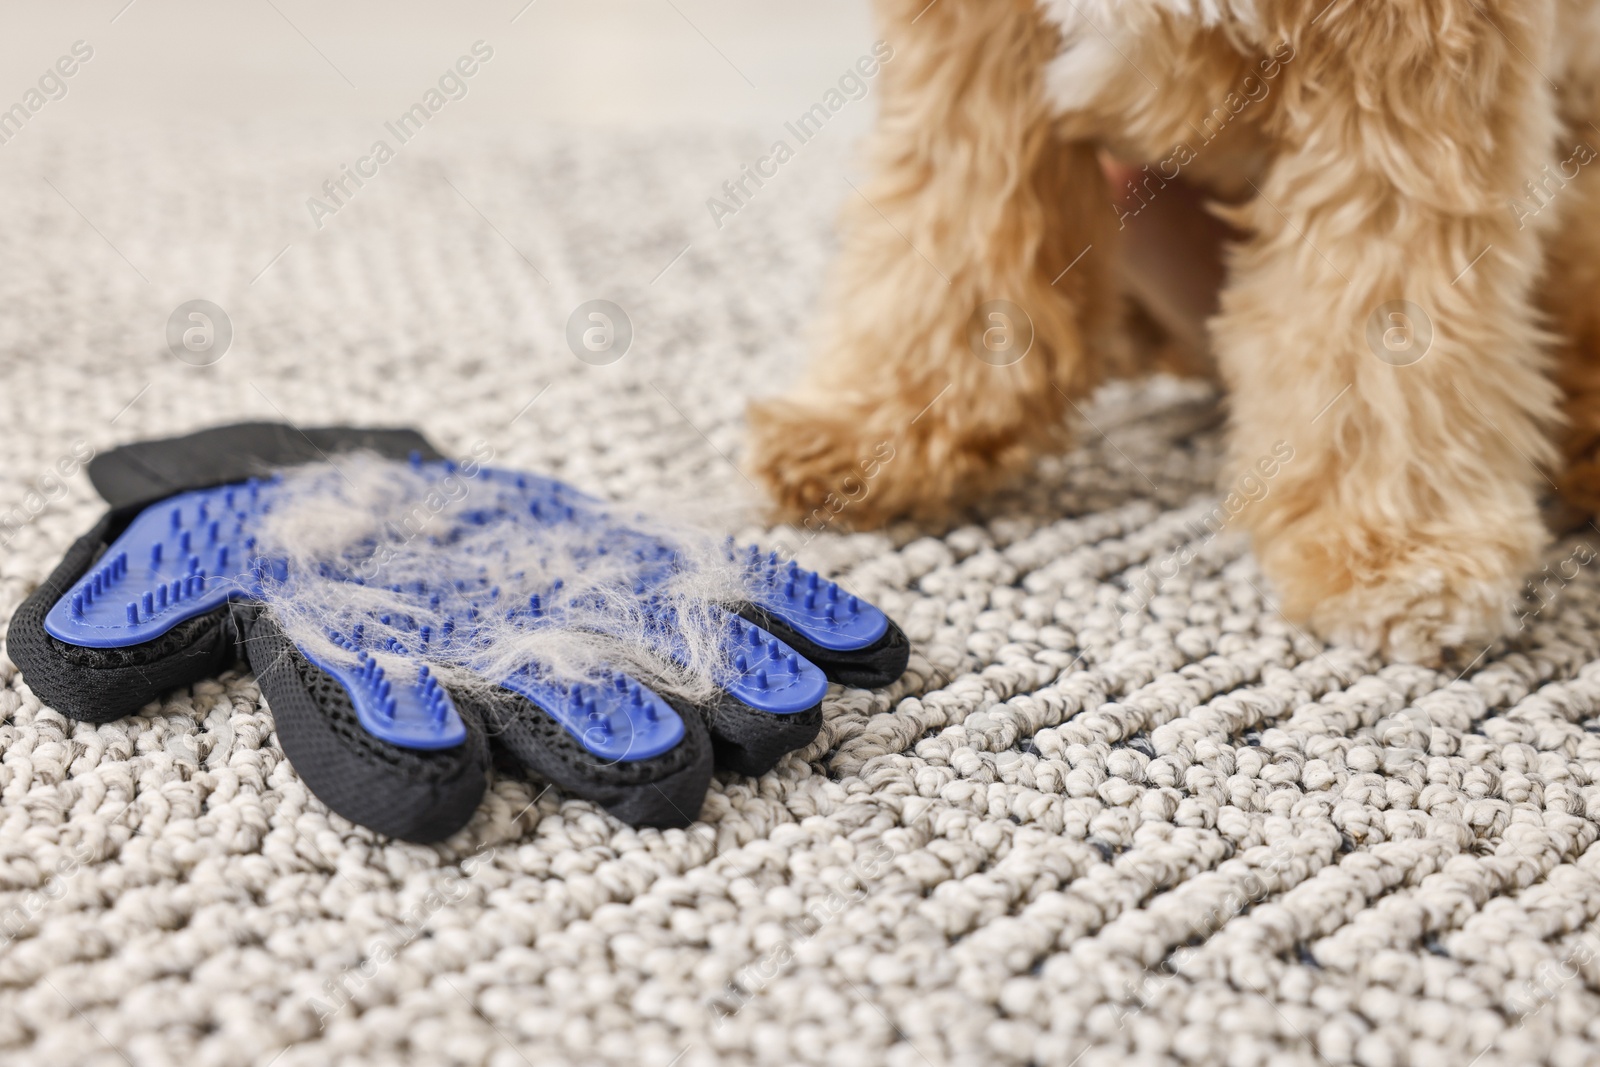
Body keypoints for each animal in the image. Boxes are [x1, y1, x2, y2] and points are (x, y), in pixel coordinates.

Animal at [745, 0, 1600, 668]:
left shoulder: (1411, 68)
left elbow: (1386, 313)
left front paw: (1394, 545)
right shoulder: (975, 52)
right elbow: (950, 230)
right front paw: (879, 424)